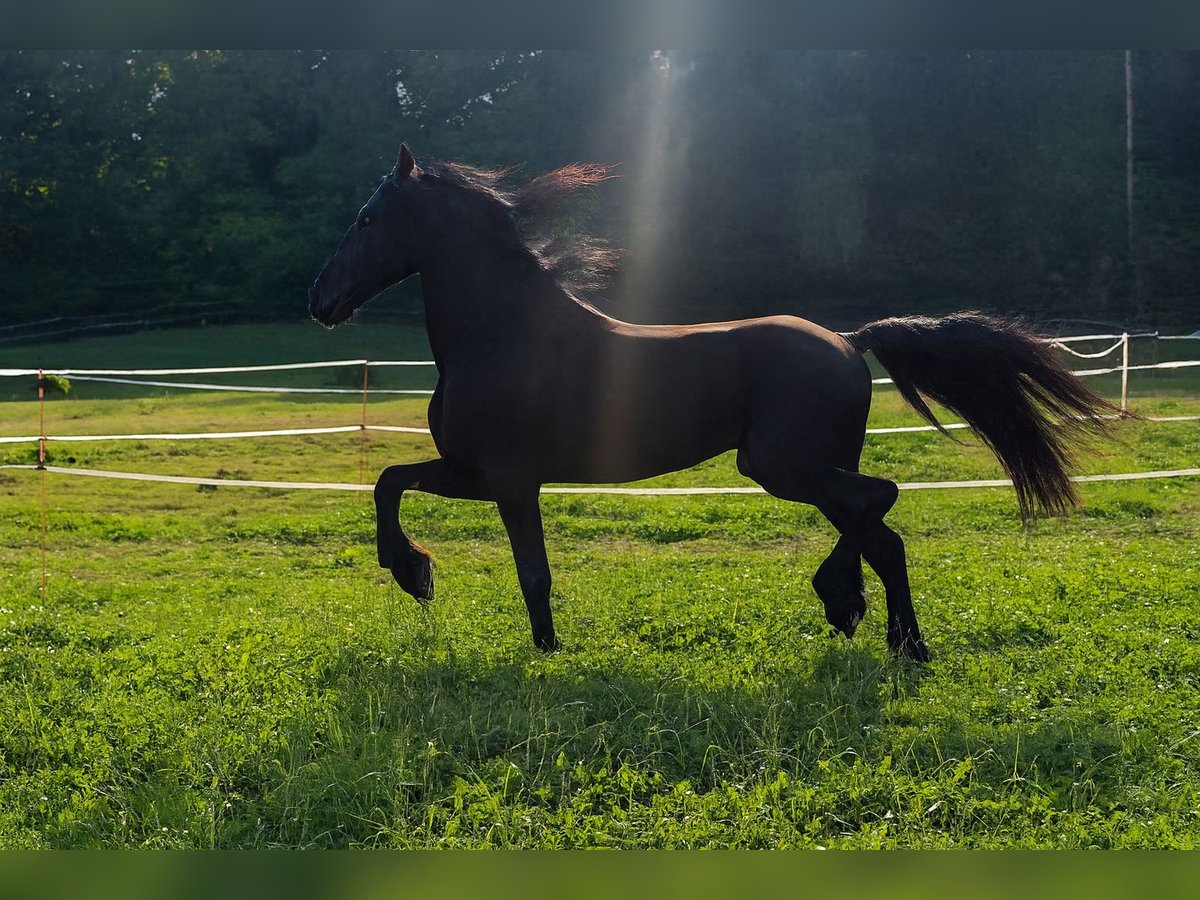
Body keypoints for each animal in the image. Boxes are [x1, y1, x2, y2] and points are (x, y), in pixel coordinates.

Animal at [308, 142, 1117, 663]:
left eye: (368, 218)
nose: (319, 301)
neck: (505, 337)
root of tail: (849, 340)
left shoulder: (508, 479)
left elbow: (531, 572)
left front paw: (537, 648)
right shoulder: (474, 472)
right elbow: (389, 482)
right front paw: (415, 572)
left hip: (782, 466)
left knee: (880, 509)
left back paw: (883, 629)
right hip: (805, 468)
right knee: (876, 524)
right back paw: (873, 624)